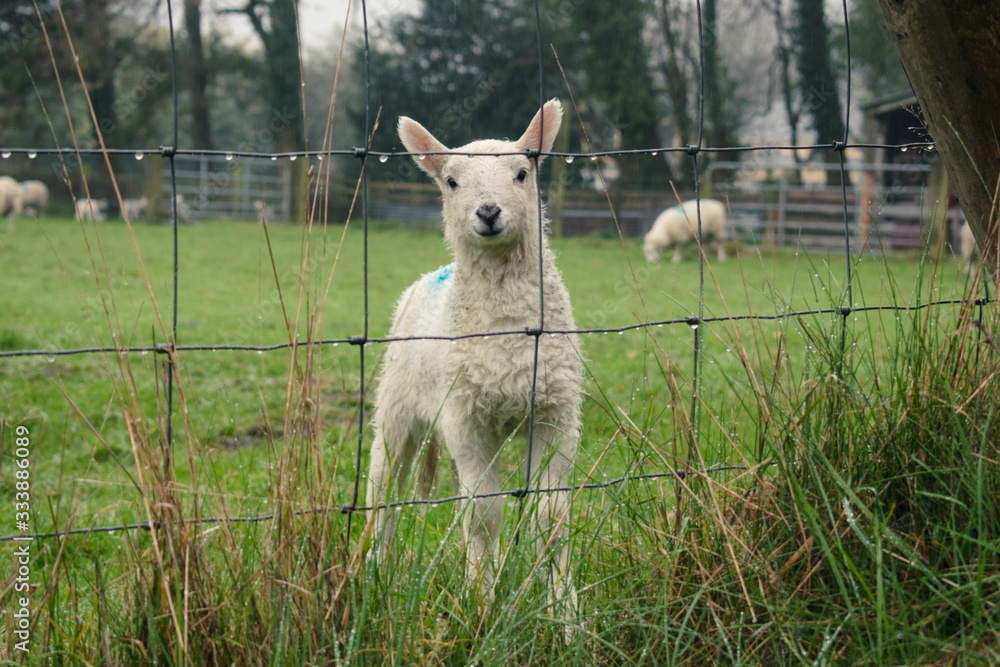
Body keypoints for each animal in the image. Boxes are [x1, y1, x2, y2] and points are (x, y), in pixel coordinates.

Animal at [366, 99, 582, 623]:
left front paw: (566, 616)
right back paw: (372, 576)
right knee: (383, 491)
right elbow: (483, 516)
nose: (488, 212)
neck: (506, 326)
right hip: (397, 402)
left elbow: (551, 519)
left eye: (523, 173)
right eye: (451, 182)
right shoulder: (465, 418)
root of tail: (436, 273)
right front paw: (480, 604)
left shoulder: (556, 412)